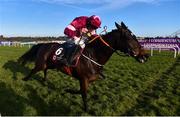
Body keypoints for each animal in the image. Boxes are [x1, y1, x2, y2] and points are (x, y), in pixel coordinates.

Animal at [17, 22, 149, 111]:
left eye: (135, 36)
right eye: (129, 37)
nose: (145, 56)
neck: (94, 55)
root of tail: (43, 44)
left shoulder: (89, 79)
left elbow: (80, 91)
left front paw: (67, 90)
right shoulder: (83, 79)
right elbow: (84, 94)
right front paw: (86, 109)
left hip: (51, 64)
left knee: (45, 70)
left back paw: (44, 81)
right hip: (41, 63)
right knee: (34, 70)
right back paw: (24, 79)